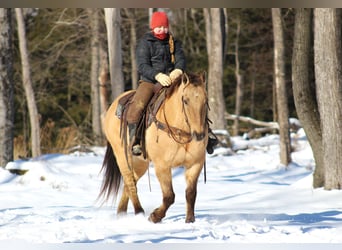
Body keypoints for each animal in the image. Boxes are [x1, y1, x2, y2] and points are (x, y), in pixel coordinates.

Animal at [97, 72, 207, 223]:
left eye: (205, 101)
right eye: (185, 100)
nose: (199, 135)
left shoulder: (195, 164)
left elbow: (191, 193)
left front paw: (190, 220)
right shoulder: (162, 166)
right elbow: (169, 196)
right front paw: (155, 216)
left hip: (140, 162)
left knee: (130, 182)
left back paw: (122, 213)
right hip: (122, 156)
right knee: (130, 182)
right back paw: (139, 212)